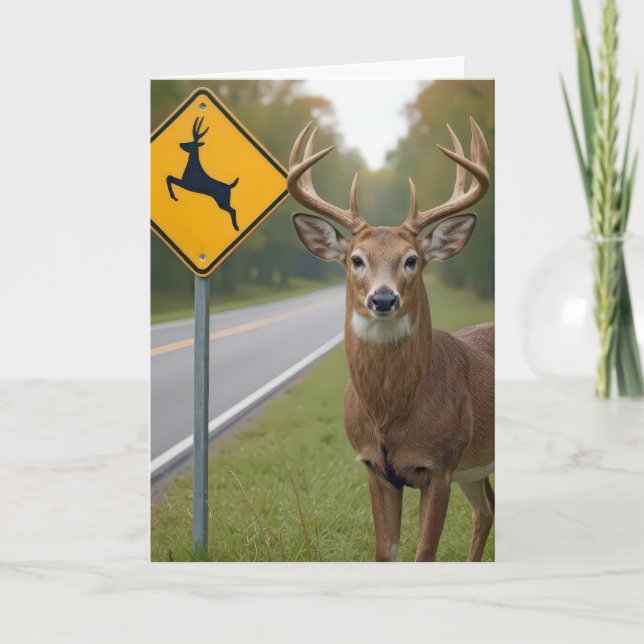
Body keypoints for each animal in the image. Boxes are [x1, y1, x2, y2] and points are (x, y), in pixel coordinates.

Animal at [287, 118, 494, 562]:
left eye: (412, 260)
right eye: (356, 259)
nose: (383, 298)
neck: (390, 412)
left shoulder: (440, 466)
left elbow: (424, 554)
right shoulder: (374, 467)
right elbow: (386, 553)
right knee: (486, 510)